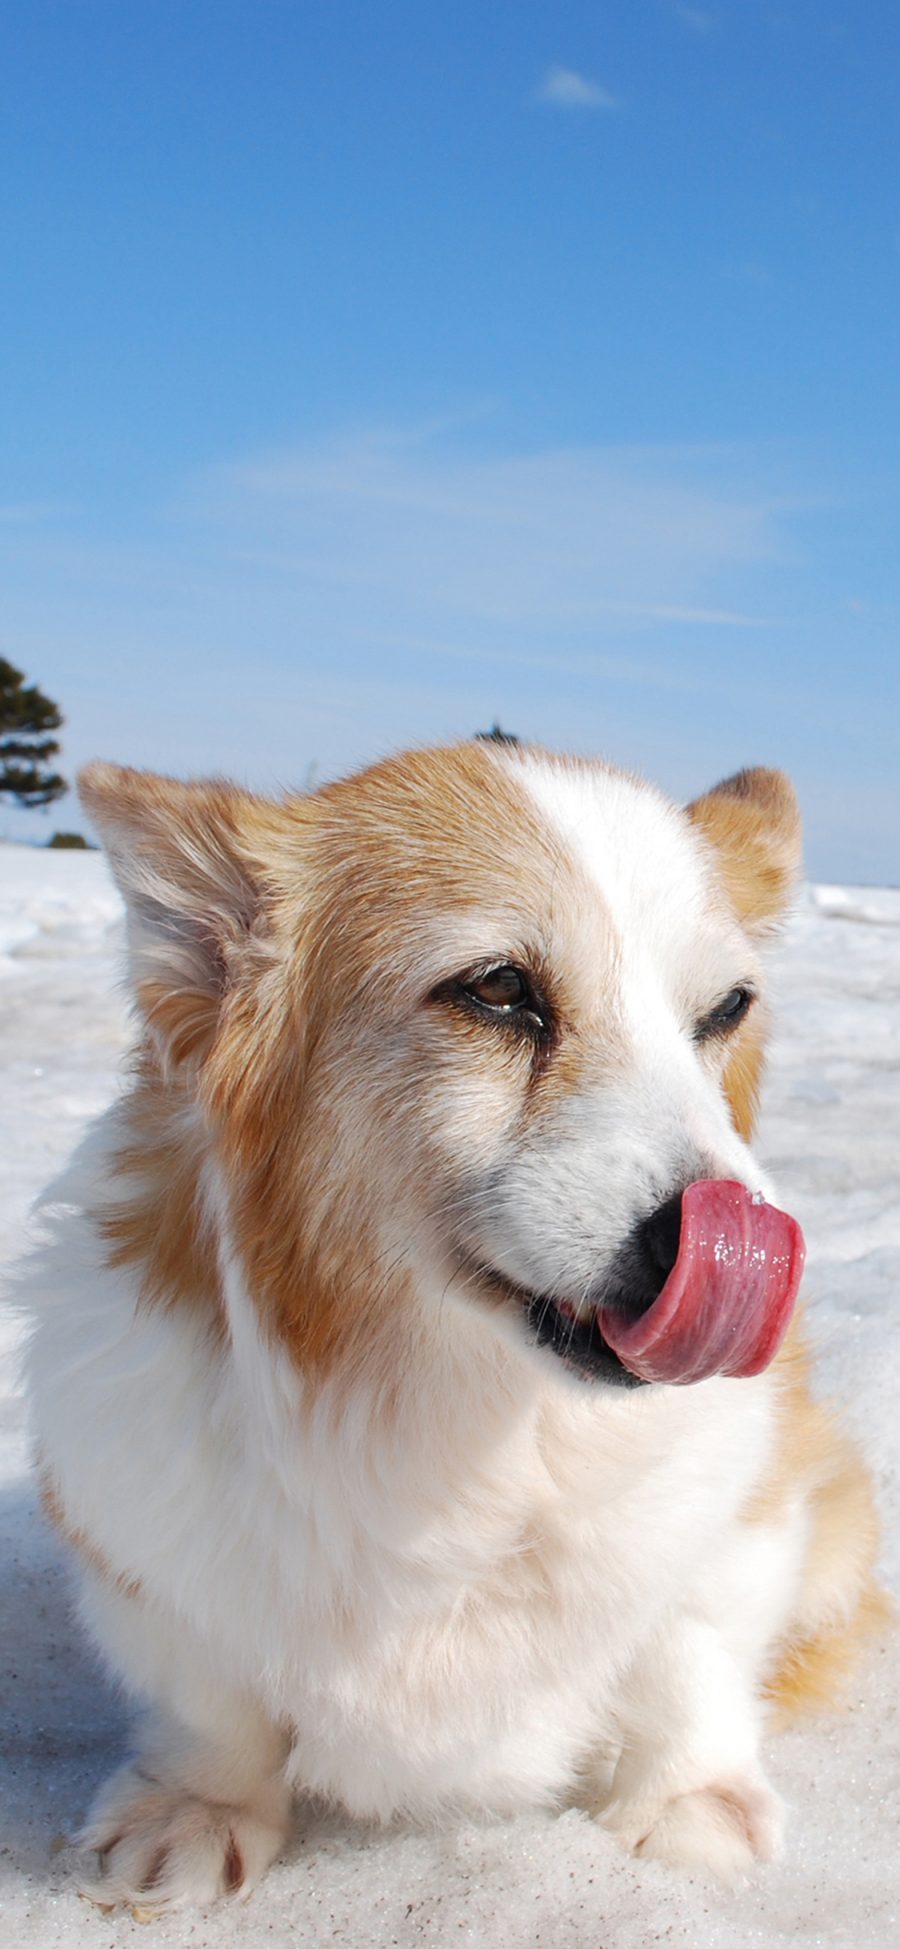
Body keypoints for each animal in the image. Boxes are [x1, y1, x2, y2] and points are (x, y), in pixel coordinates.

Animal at [21, 744, 880, 1917]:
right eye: (498, 989)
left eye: (727, 1007)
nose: (740, 1248)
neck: (475, 1433)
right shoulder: (143, 1554)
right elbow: (211, 1700)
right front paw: (196, 1809)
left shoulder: (745, 1515)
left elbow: (687, 1655)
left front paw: (687, 1806)